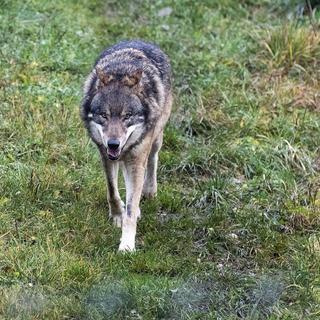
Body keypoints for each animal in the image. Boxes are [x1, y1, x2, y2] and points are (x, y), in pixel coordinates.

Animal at [81, 40, 174, 251]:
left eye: (127, 116)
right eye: (104, 115)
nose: (113, 143)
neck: (120, 72)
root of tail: (140, 40)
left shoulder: (136, 160)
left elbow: (131, 208)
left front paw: (127, 245)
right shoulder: (105, 155)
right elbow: (112, 191)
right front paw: (117, 215)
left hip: (155, 140)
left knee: (152, 160)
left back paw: (149, 191)